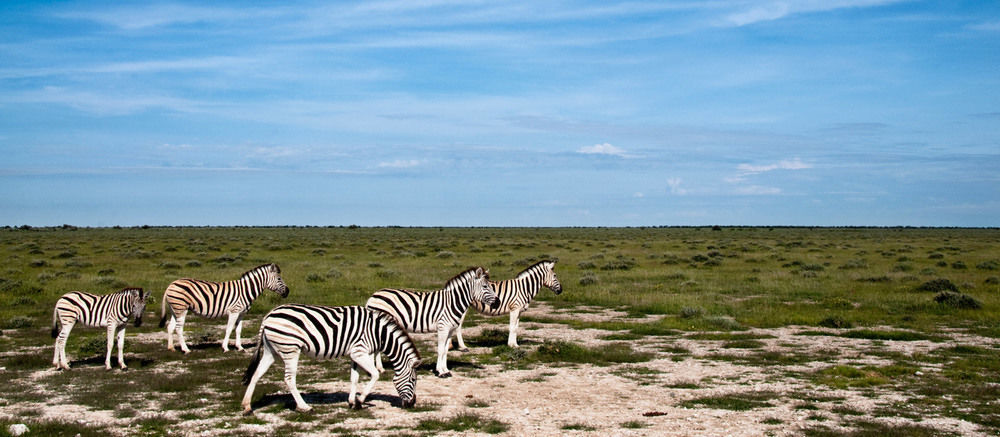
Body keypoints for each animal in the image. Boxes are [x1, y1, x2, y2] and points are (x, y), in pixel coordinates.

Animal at [157, 262, 290, 350]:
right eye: (279, 278)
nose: (288, 292)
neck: (245, 290)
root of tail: (171, 284)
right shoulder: (234, 311)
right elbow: (229, 328)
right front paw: (225, 347)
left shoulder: (241, 313)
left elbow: (238, 330)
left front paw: (239, 347)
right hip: (182, 308)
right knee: (179, 328)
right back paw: (185, 349)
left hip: (175, 309)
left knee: (170, 327)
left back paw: (171, 348)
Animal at [242, 304, 422, 412]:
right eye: (413, 380)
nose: (412, 404)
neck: (379, 333)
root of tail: (269, 315)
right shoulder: (360, 352)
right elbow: (375, 375)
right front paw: (360, 401)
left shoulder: (354, 353)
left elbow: (354, 378)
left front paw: (352, 402)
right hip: (290, 349)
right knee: (289, 379)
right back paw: (304, 407)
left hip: (271, 350)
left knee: (256, 374)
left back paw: (247, 406)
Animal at [366, 264, 498, 376]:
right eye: (485, 286)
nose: (498, 302)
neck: (452, 302)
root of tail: (374, 295)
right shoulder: (442, 328)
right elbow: (440, 350)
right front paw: (440, 372)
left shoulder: (450, 330)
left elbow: (445, 350)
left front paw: (446, 370)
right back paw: (378, 369)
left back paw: (380, 369)